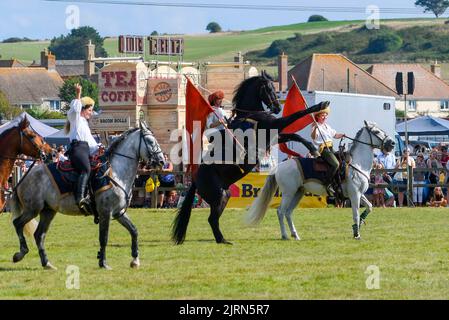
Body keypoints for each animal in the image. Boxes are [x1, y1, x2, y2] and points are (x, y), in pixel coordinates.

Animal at [172, 70, 328, 245]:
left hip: (224, 195)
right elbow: (297, 115)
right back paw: (223, 240)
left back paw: (221, 239)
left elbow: (294, 135)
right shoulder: (274, 126)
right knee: (212, 219)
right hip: (219, 196)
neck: (251, 114)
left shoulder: (273, 136)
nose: (277, 107)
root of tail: (195, 180)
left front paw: (313, 149)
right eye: (269, 88)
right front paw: (320, 105)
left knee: (213, 219)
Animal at [245, 120, 396, 240]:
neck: (357, 164)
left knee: (288, 212)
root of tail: (279, 167)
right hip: (288, 193)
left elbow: (369, 207)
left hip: (298, 193)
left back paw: (295, 235)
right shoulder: (354, 195)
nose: (392, 143)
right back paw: (285, 235)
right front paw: (357, 234)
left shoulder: (360, 194)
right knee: (281, 211)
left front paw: (357, 227)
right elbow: (356, 214)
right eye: (376, 131)